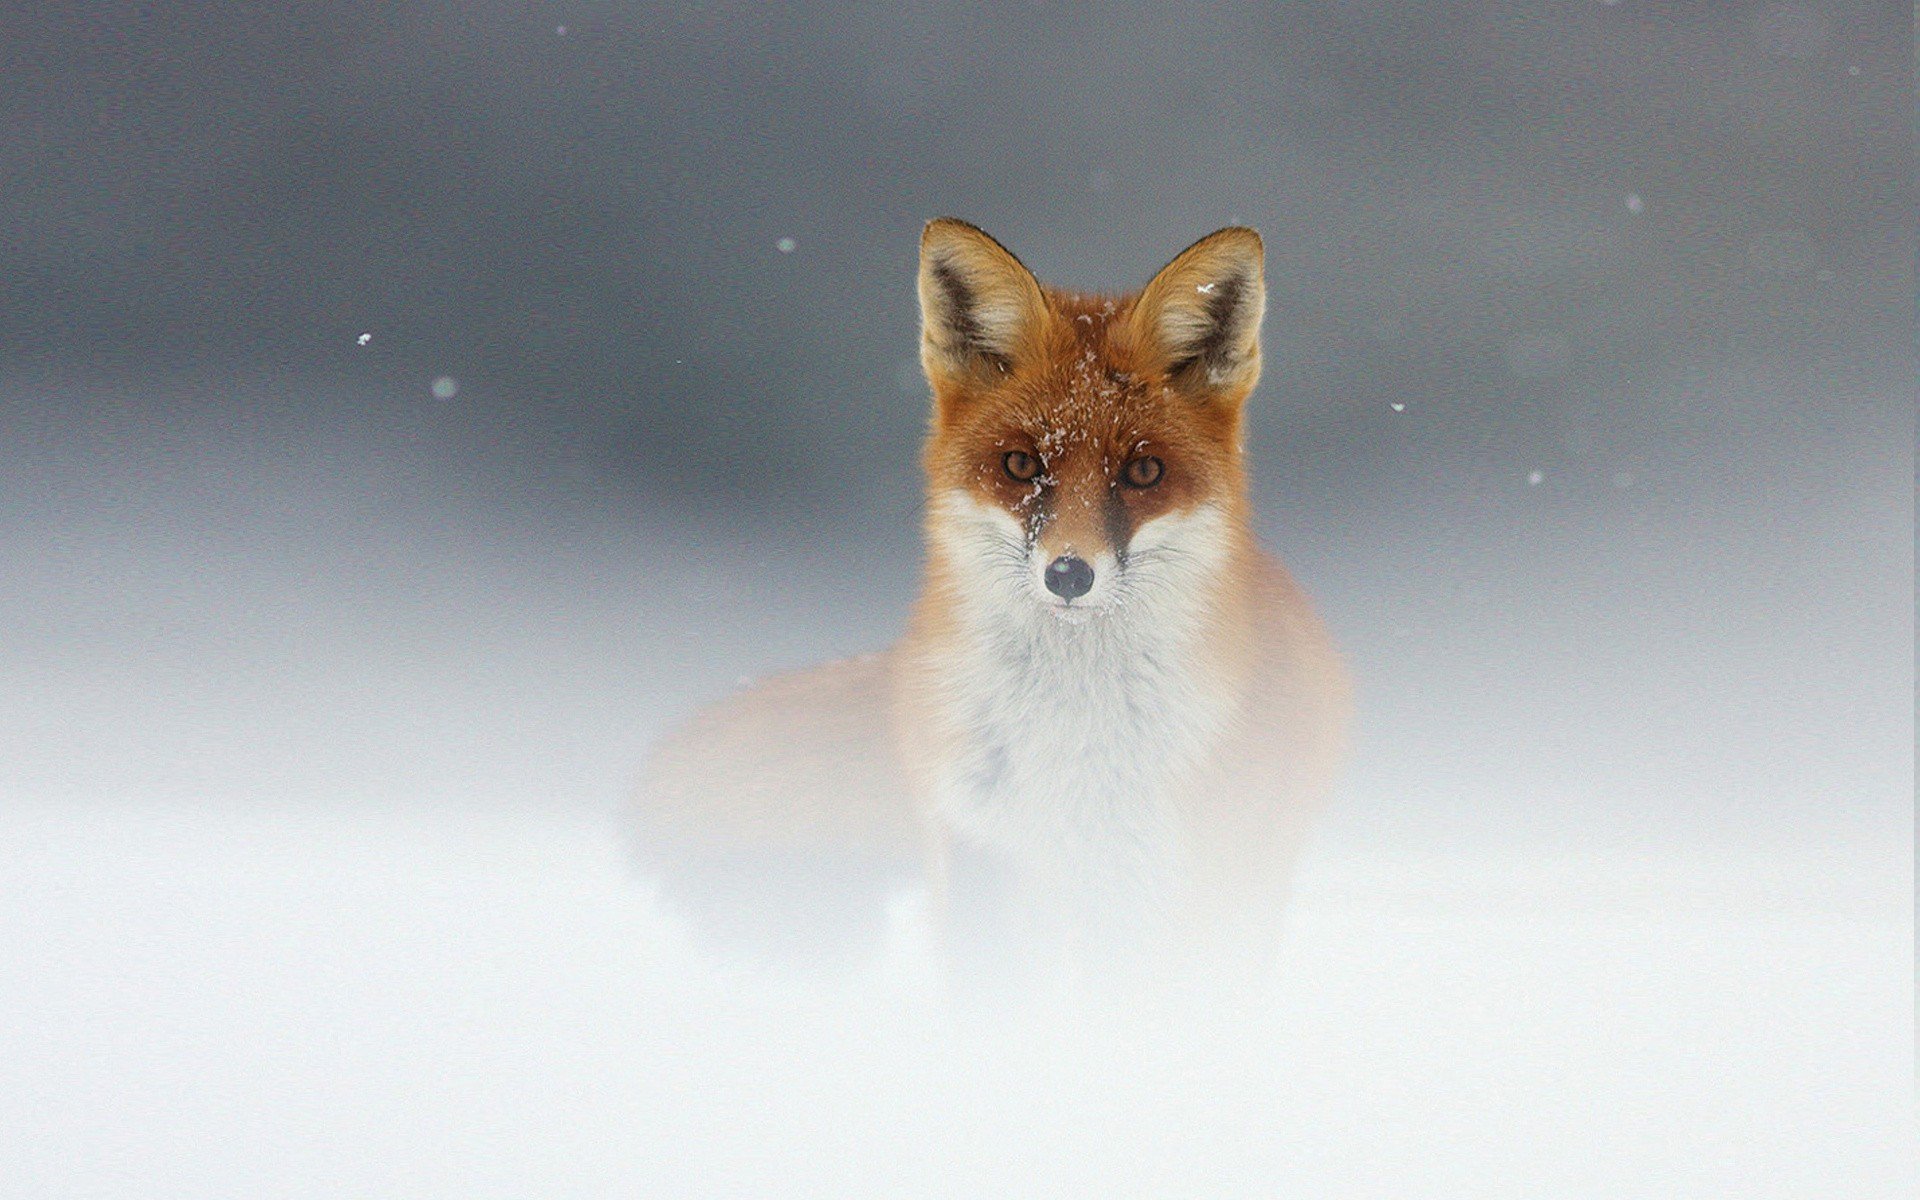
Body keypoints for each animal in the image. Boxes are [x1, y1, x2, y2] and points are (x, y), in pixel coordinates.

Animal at [636, 219, 1350, 994]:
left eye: (1142, 471)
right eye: (1020, 465)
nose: (1069, 574)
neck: (1072, 739)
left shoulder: (1164, 888)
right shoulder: (980, 853)